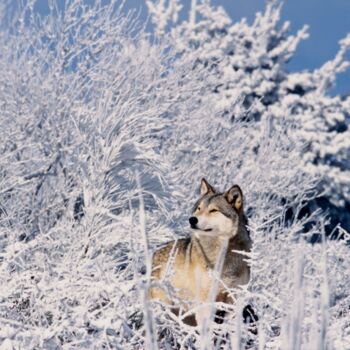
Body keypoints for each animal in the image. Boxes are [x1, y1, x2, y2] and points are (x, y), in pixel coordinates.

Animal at [148, 179, 252, 326]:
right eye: (199, 208)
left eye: (213, 210)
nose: (192, 219)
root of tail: (154, 253)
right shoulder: (206, 302)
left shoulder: (234, 299)